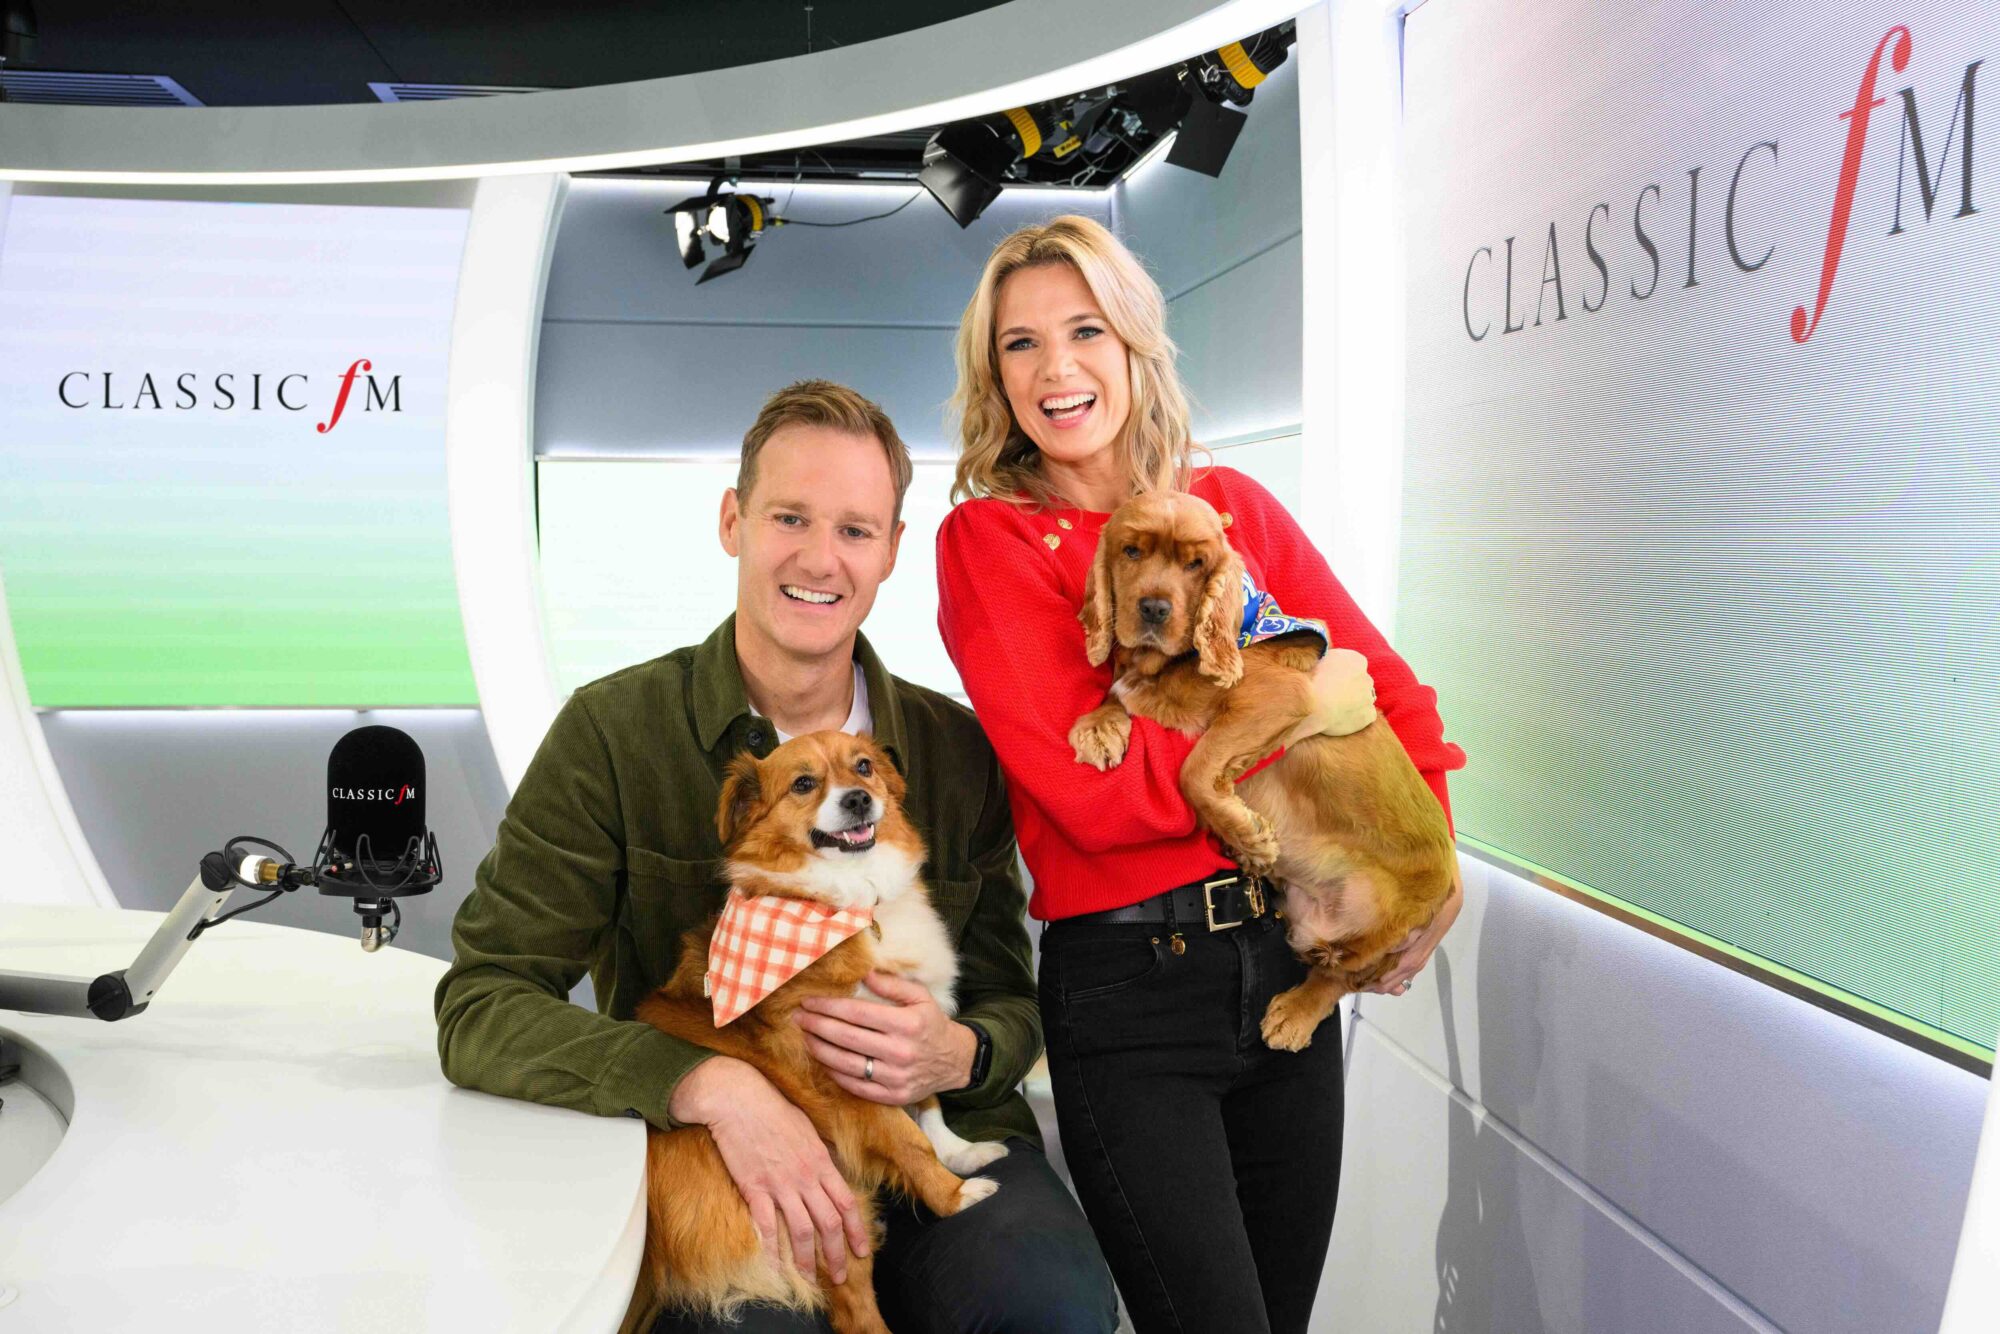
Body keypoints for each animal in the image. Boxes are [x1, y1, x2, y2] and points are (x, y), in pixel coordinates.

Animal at [620, 731, 1004, 1334]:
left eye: (864, 767)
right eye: (803, 783)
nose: (858, 799)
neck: (855, 901)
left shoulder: (909, 1036)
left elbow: (929, 1105)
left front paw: (961, 1155)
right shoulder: (843, 1078)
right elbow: (909, 1140)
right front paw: (955, 1194)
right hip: (823, 1210)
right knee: (854, 1312)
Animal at [1067, 490, 1457, 1051]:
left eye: (1196, 564)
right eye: (1131, 551)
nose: (1154, 609)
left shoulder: (1275, 698)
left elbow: (1194, 768)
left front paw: (1248, 836)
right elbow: (1116, 695)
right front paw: (1098, 727)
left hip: (1384, 933)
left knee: (1339, 975)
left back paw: (1293, 1013)